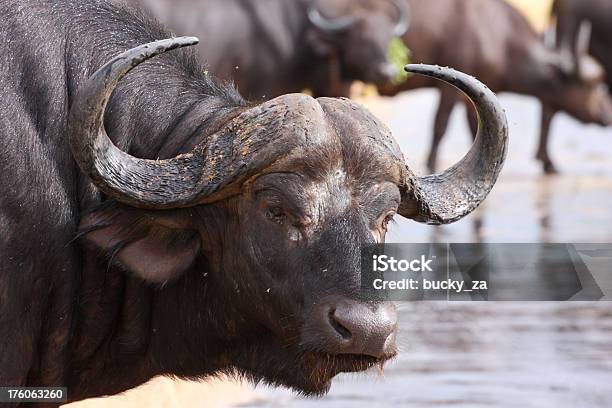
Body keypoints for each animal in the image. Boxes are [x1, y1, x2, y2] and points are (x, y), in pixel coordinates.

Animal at [380, 0, 608, 174]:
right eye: (592, 86)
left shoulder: (474, 94)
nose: (607, 115)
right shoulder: (449, 88)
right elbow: (440, 126)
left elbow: (476, 128)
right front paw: (431, 165)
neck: (500, 36)